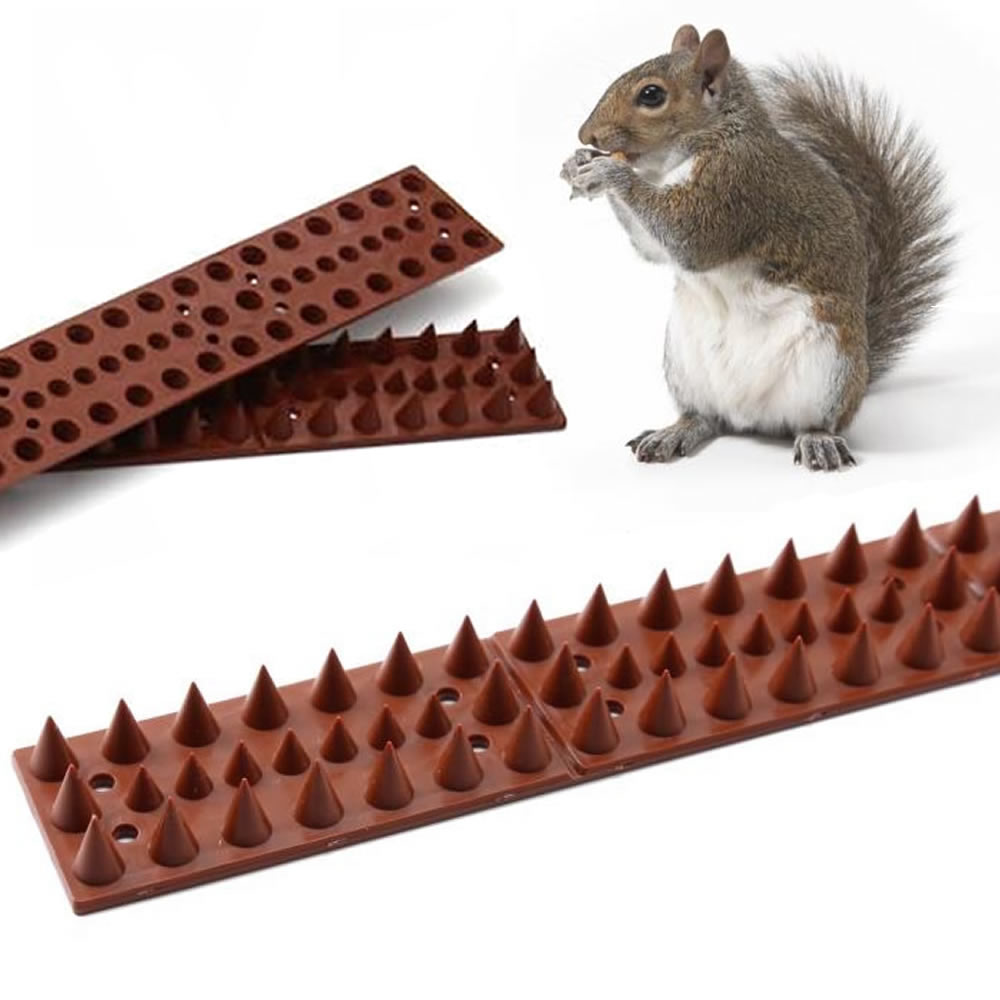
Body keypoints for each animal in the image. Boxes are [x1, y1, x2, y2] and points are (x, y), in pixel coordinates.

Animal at [561, 24, 953, 471]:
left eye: (651, 95)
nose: (586, 136)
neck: (707, 140)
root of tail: (750, 418)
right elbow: (655, 249)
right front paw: (578, 164)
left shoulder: (737, 185)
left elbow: (689, 239)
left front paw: (610, 172)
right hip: (684, 363)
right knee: (707, 416)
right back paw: (675, 432)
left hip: (831, 362)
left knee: (815, 420)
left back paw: (818, 440)